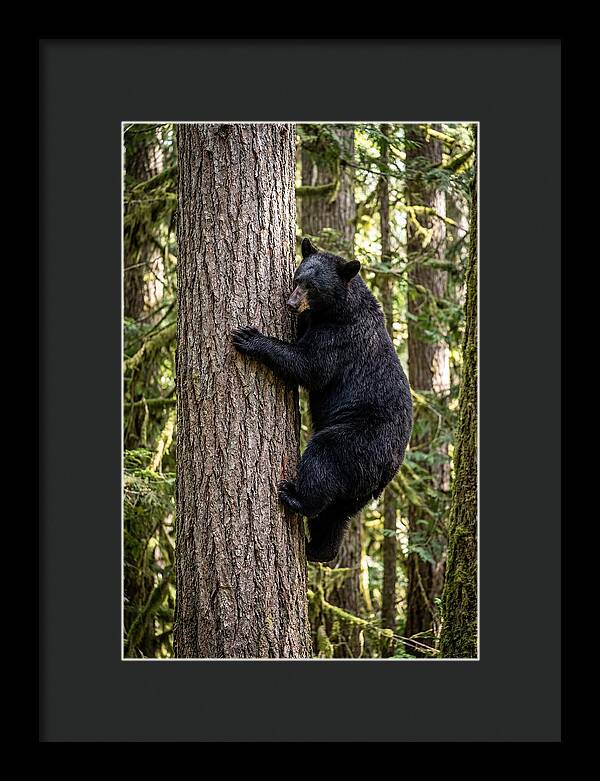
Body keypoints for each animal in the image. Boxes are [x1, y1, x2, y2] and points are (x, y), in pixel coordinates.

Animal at [232, 237, 413, 562]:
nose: (291, 303)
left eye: (313, 287)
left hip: (357, 440)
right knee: (336, 514)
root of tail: (389, 469)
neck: (339, 310)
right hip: (360, 488)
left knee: (323, 460)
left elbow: (309, 365)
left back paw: (294, 497)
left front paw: (251, 337)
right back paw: (319, 549)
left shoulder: (339, 339)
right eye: (297, 278)